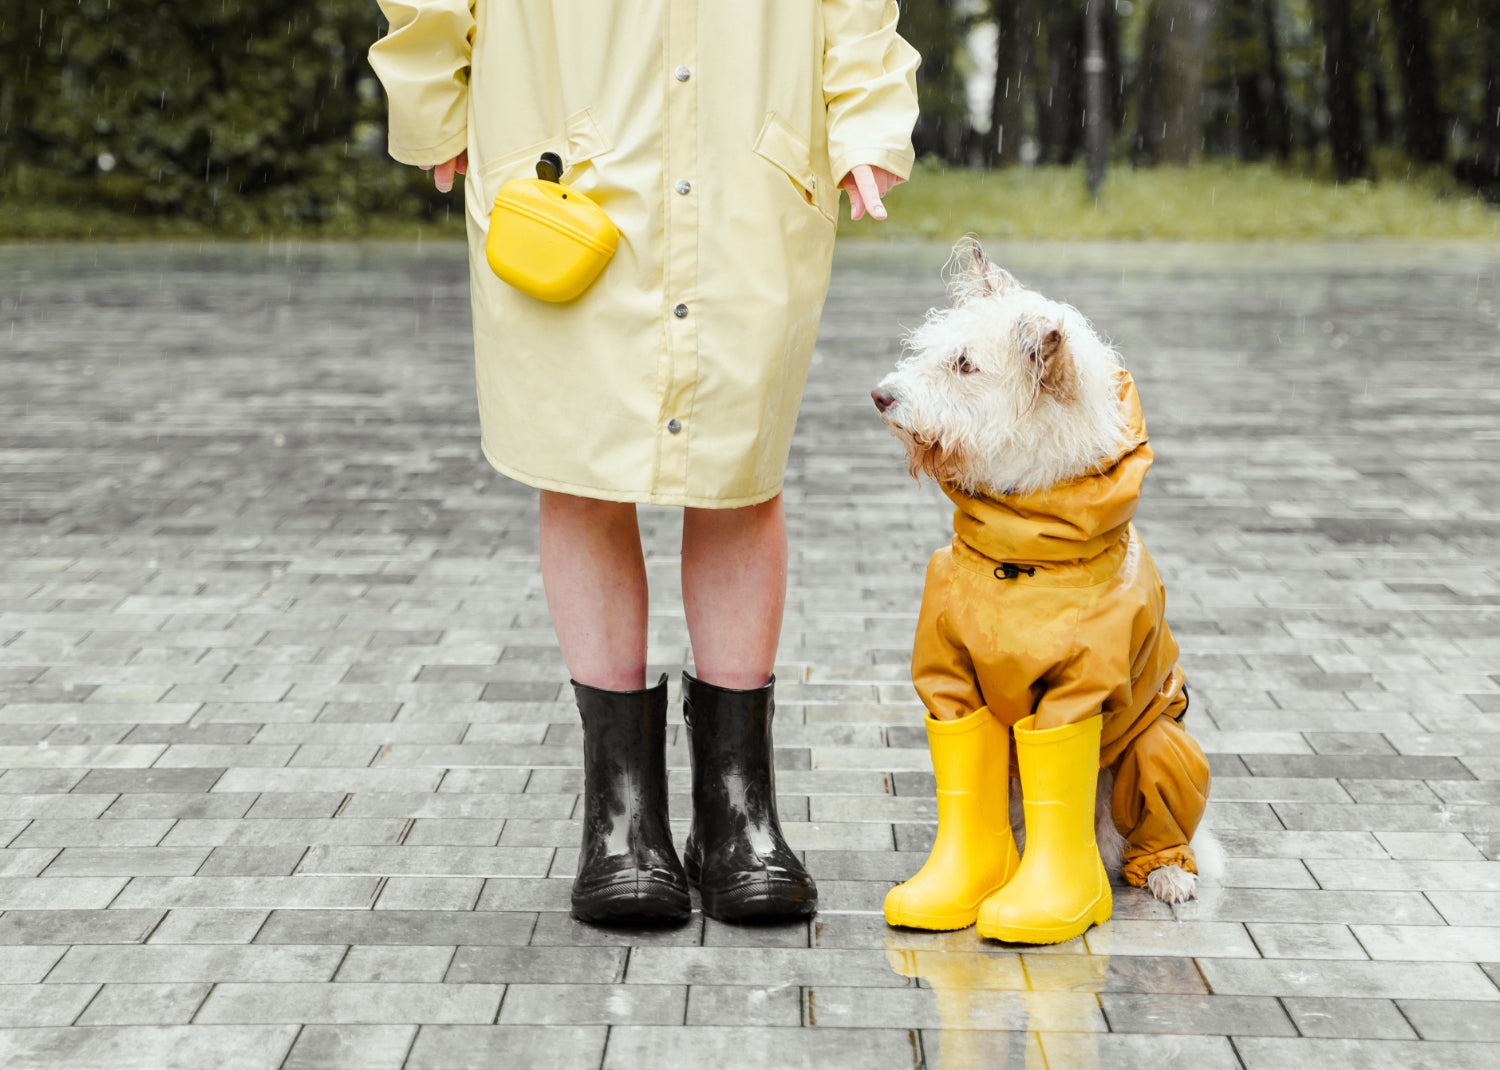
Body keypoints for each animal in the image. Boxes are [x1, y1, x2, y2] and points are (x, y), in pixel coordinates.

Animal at [876, 238, 1212, 906]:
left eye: (964, 365)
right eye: (931, 351)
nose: (880, 396)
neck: (1023, 547)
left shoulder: (1080, 690)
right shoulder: (949, 675)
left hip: (1160, 741)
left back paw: (1162, 870)